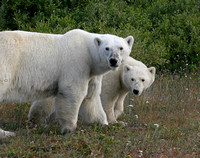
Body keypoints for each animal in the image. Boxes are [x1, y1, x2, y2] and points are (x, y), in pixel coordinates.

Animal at [0, 28, 134, 136]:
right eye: (107, 48)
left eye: (121, 48)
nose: (113, 60)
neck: (88, 52)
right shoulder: (76, 64)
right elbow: (73, 92)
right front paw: (69, 129)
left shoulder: (91, 74)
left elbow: (90, 97)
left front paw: (103, 124)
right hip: (8, 61)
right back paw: (7, 134)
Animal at [27, 56, 155, 125]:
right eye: (132, 78)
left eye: (143, 79)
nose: (136, 91)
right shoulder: (111, 81)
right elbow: (108, 101)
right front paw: (113, 121)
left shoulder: (122, 86)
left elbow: (119, 102)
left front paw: (119, 118)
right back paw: (36, 120)